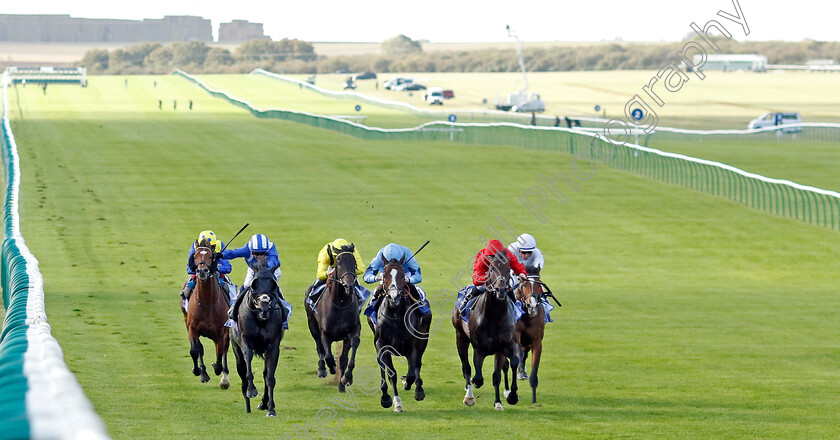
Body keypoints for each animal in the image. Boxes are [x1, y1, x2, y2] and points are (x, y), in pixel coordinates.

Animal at [179, 241, 228, 388]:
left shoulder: (223, 330)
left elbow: (221, 351)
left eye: (211, 256)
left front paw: (219, 370)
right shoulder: (192, 327)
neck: (207, 302)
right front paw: (199, 371)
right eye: (194, 256)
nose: (201, 271)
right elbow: (195, 350)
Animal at [230, 262, 288, 418]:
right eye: (254, 284)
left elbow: (270, 377)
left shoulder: (273, 346)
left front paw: (271, 408)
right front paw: (251, 390)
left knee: (265, 373)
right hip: (236, 348)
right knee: (242, 373)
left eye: (273, 285)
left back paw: (264, 403)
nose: (264, 308)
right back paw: (247, 404)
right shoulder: (246, 342)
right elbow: (248, 371)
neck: (260, 319)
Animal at [306, 244, 362, 392]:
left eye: (354, 263)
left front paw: (346, 379)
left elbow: (348, 356)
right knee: (319, 346)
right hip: (312, 324)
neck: (340, 303)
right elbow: (328, 356)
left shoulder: (352, 331)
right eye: (339, 263)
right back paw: (322, 369)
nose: (349, 285)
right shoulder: (325, 333)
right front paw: (331, 368)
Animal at [368, 254, 434, 412]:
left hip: (423, 340)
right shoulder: (382, 345)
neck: (395, 315)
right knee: (382, 365)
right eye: (385, 275)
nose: (394, 297)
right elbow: (391, 373)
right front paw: (392, 401)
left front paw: (417, 391)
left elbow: (412, 372)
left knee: (416, 365)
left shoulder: (413, 345)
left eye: (403, 276)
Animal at [452, 253, 520, 410]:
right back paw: (469, 395)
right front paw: (472, 389)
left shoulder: (504, 347)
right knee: (466, 366)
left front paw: (507, 398)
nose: (501, 291)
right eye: (491, 270)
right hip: (460, 336)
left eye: (508, 269)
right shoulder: (479, 348)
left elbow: (507, 368)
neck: (494, 316)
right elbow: (477, 377)